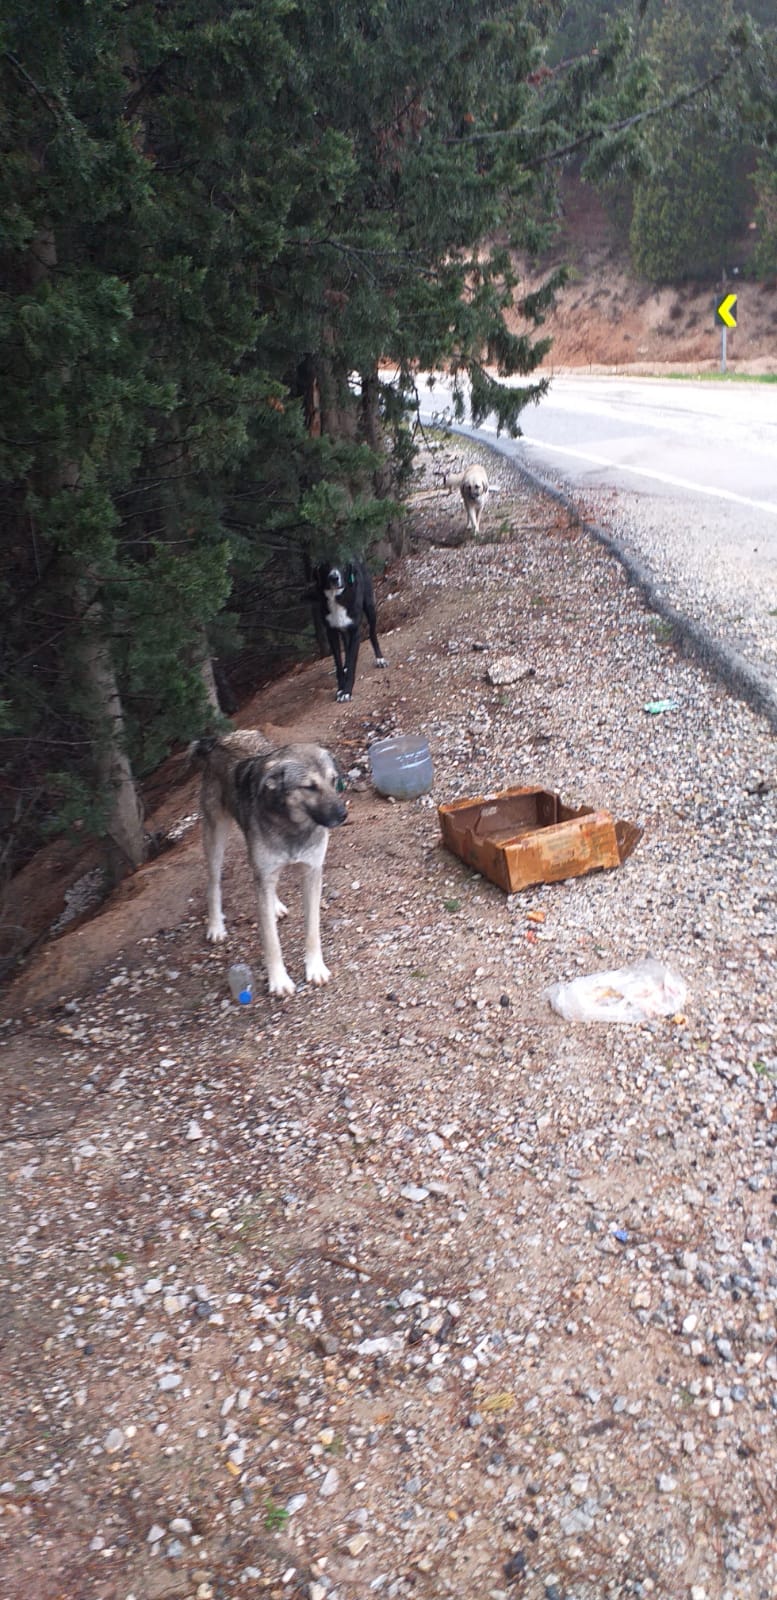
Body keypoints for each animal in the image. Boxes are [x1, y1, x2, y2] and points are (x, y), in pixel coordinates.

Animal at [191, 731, 346, 998]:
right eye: (309, 787)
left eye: (333, 780)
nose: (343, 814)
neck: (293, 828)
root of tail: (220, 739)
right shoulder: (265, 873)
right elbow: (272, 941)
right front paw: (279, 981)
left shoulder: (312, 872)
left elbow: (312, 929)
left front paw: (315, 968)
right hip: (215, 837)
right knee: (213, 883)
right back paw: (216, 926)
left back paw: (274, 905)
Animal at [311, 557, 387, 701]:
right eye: (326, 565)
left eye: (343, 565)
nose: (334, 577)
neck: (337, 597)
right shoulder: (332, 633)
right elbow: (338, 663)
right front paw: (341, 688)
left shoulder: (355, 631)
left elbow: (353, 661)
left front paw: (347, 691)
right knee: (346, 645)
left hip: (370, 608)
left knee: (372, 633)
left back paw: (380, 659)